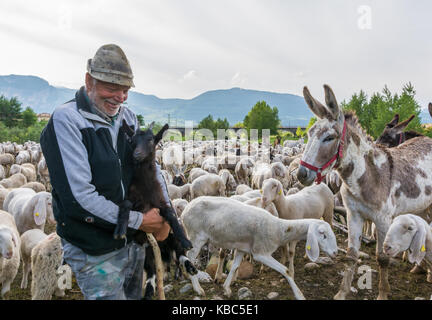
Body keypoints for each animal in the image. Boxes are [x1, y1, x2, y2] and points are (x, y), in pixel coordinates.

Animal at [181, 196, 338, 298]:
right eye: (322, 234)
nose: (336, 252)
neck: (279, 230)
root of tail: (185, 210)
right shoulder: (260, 252)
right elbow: (286, 270)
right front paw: (299, 295)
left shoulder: (242, 248)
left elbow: (234, 267)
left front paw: (226, 288)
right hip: (196, 237)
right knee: (189, 258)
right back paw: (198, 289)